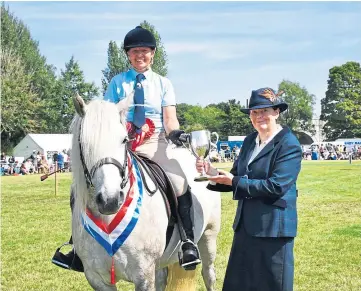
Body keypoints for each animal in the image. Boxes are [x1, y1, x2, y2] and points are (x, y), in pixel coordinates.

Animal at [70, 94, 221, 290]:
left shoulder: (144, 275)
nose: (110, 200)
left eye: (124, 140)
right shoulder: (96, 278)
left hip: (209, 236)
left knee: (208, 274)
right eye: (84, 143)